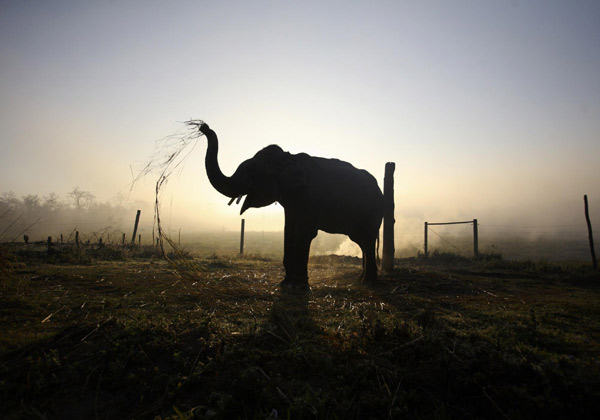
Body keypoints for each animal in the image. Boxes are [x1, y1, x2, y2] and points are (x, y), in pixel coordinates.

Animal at [198, 121, 384, 288]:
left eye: (253, 172)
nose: (203, 127)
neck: (290, 158)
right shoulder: (292, 202)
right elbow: (289, 230)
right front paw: (285, 283)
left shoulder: (309, 198)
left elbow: (304, 232)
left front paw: (297, 285)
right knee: (362, 241)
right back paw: (361, 279)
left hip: (372, 213)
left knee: (367, 240)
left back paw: (368, 282)